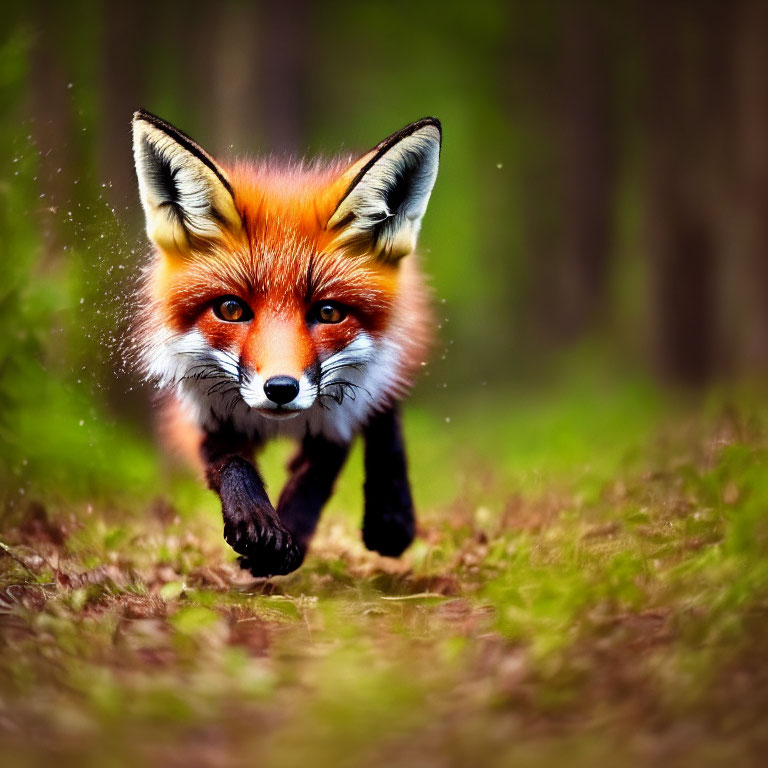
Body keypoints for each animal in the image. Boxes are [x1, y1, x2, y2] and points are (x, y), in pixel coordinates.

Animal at [134, 108, 438, 576]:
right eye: (231, 309)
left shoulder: (339, 412)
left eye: (328, 313)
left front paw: (290, 535)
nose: (280, 389)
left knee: (385, 411)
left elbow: (320, 471)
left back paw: (390, 516)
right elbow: (231, 463)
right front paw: (258, 523)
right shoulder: (202, 405)